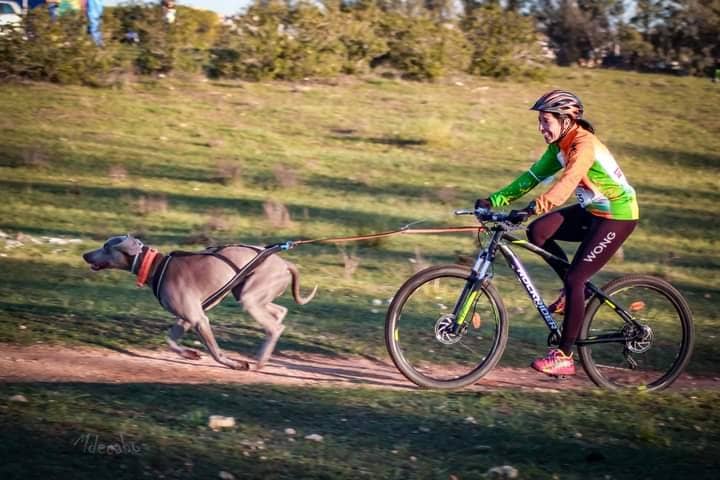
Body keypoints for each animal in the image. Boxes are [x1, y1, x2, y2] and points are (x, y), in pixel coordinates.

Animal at [81, 234, 316, 370]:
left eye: (106, 246)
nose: (85, 255)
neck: (155, 266)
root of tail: (286, 264)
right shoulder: (186, 318)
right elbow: (170, 339)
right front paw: (190, 354)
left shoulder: (199, 318)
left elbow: (215, 352)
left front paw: (235, 363)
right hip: (246, 292)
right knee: (279, 312)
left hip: (250, 296)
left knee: (275, 327)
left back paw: (260, 360)